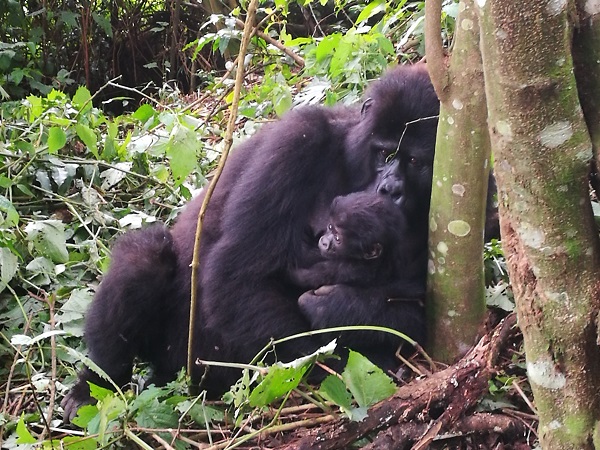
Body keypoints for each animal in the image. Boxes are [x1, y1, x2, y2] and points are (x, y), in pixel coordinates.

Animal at [61, 63, 438, 422]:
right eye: (384, 154)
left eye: (415, 161)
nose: (391, 190)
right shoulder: (298, 138)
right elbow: (236, 275)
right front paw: (337, 354)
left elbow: (417, 309)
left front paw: (342, 308)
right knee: (145, 256)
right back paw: (92, 386)